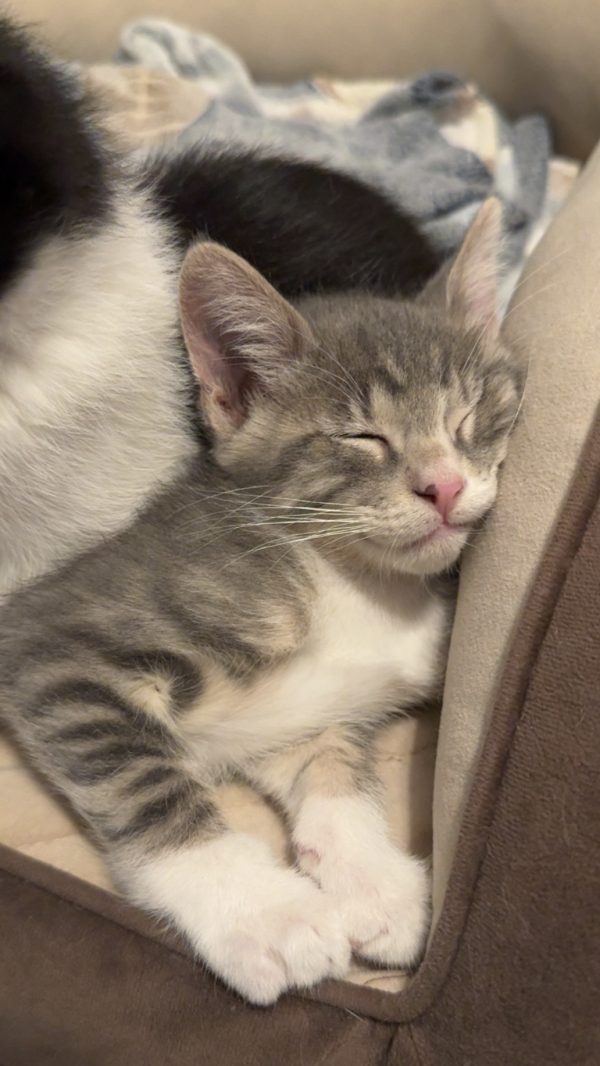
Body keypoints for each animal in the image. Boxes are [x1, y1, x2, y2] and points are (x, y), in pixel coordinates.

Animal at [0, 198, 523, 1004]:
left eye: (469, 416)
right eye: (363, 437)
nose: (445, 486)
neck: (351, 578)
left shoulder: (302, 710)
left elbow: (335, 765)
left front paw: (372, 879)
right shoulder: (52, 646)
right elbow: (148, 785)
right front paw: (264, 913)